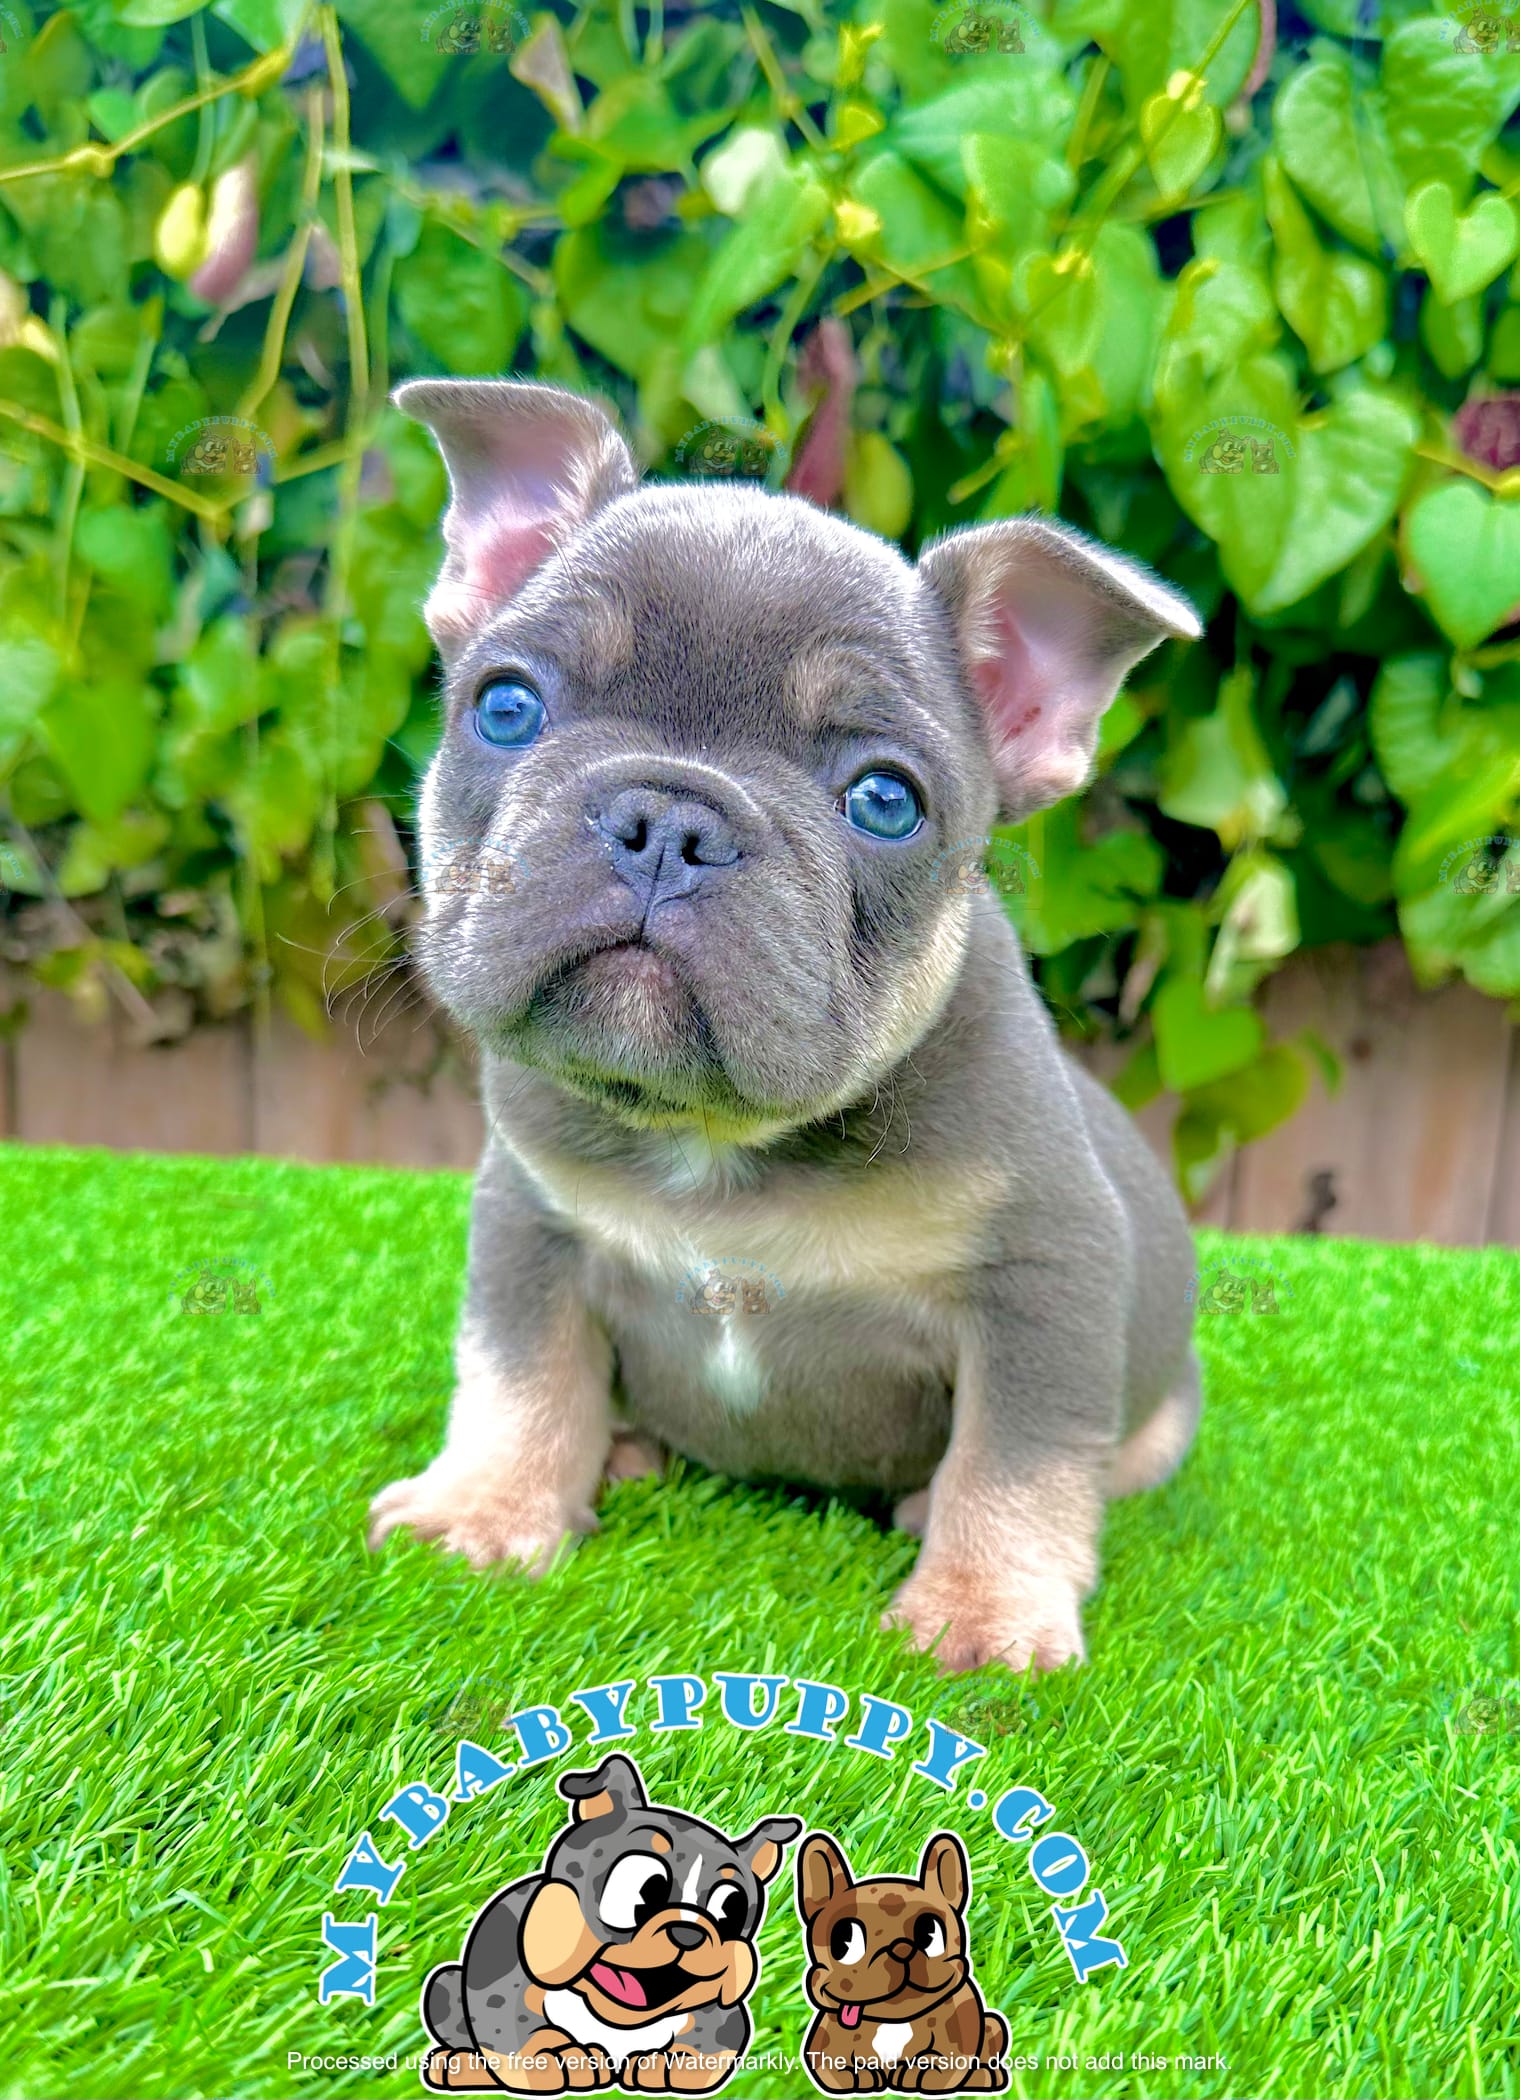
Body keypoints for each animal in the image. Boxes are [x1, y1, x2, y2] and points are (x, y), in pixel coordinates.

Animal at [367, 377, 1204, 1673]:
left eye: (884, 801)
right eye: (505, 706)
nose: (667, 820)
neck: (716, 1141)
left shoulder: (1043, 1279)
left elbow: (1016, 1459)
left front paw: (982, 1612)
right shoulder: (531, 1226)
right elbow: (515, 1374)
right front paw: (485, 1507)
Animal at [419, 1753, 799, 2092]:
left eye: (730, 1911)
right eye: (640, 1888)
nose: (688, 1933)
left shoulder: (719, 2012)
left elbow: (714, 2045)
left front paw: (670, 2065)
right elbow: (513, 2035)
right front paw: (557, 2058)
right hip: (445, 1985)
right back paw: (461, 2065)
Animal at [796, 1831, 1007, 2092]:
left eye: (930, 1932)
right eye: (845, 1940)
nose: (901, 1948)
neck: (893, 2020)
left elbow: (950, 2061)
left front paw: (921, 2070)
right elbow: (829, 2062)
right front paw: (859, 2075)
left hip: (993, 2025)